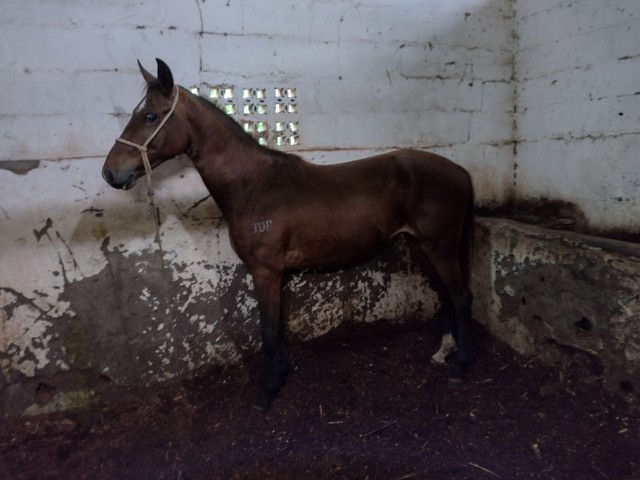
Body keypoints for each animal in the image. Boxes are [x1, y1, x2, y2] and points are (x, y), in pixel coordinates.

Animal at [102, 58, 476, 410]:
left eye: (150, 116)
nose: (110, 172)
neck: (254, 186)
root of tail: (460, 171)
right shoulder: (276, 274)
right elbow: (278, 327)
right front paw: (282, 373)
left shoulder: (265, 271)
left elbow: (268, 330)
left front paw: (267, 392)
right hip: (420, 246)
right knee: (446, 295)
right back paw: (442, 353)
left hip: (440, 248)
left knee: (461, 298)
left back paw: (461, 369)